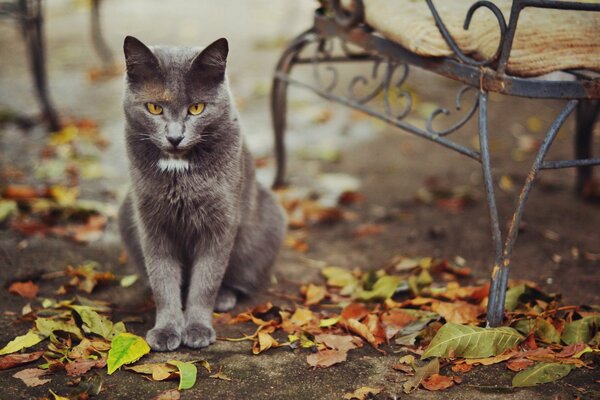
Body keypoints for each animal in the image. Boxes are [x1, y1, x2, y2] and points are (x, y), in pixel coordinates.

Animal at [118, 36, 288, 350]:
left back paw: (225, 297)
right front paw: (166, 330)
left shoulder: (219, 224)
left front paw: (196, 328)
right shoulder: (152, 225)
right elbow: (163, 280)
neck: (179, 171)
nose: (174, 137)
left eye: (197, 108)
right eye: (154, 108)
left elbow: (205, 281)